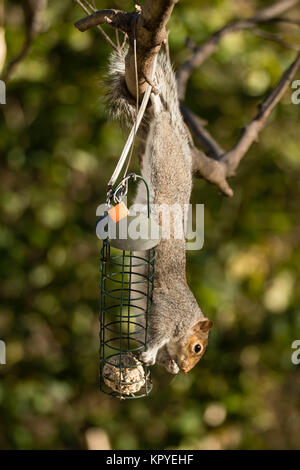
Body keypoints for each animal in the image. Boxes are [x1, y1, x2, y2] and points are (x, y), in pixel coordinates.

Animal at [106, 50, 212, 374]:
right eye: (197, 347)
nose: (187, 370)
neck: (185, 316)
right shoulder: (165, 312)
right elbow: (155, 336)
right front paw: (151, 354)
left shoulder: (149, 316)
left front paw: (167, 365)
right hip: (166, 154)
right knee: (162, 116)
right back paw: (153, 97)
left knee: (160, 119)